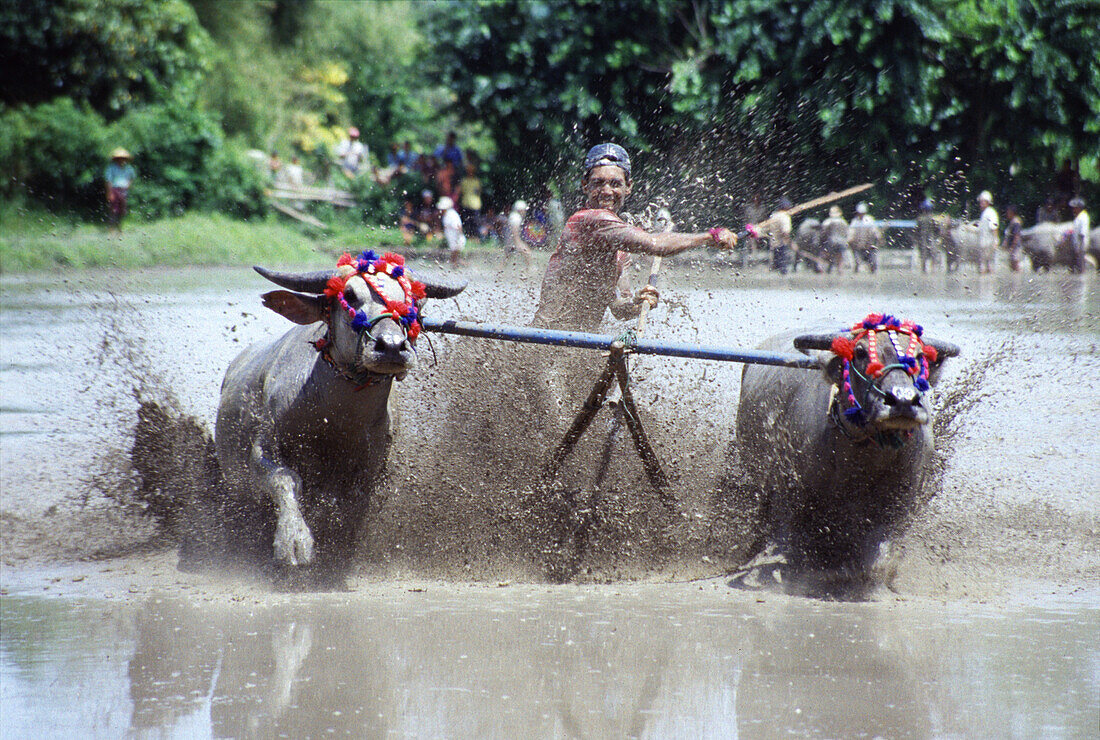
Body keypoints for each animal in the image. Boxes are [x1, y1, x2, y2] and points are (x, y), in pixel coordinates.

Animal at [216, 250, 466, 580]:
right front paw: (294, 542)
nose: (391, 346)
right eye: (349, 295)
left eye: (412, 300)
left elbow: (347, 506)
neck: (334, 418)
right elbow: (286, 480)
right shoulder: (262, 449)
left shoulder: (371, 467)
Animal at [734, 310, 959, 584]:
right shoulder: (789, 489)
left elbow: (878, 559)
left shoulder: (902, 501)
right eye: (860, 352)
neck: (862, 458)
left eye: (918, 356)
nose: (902, 401)